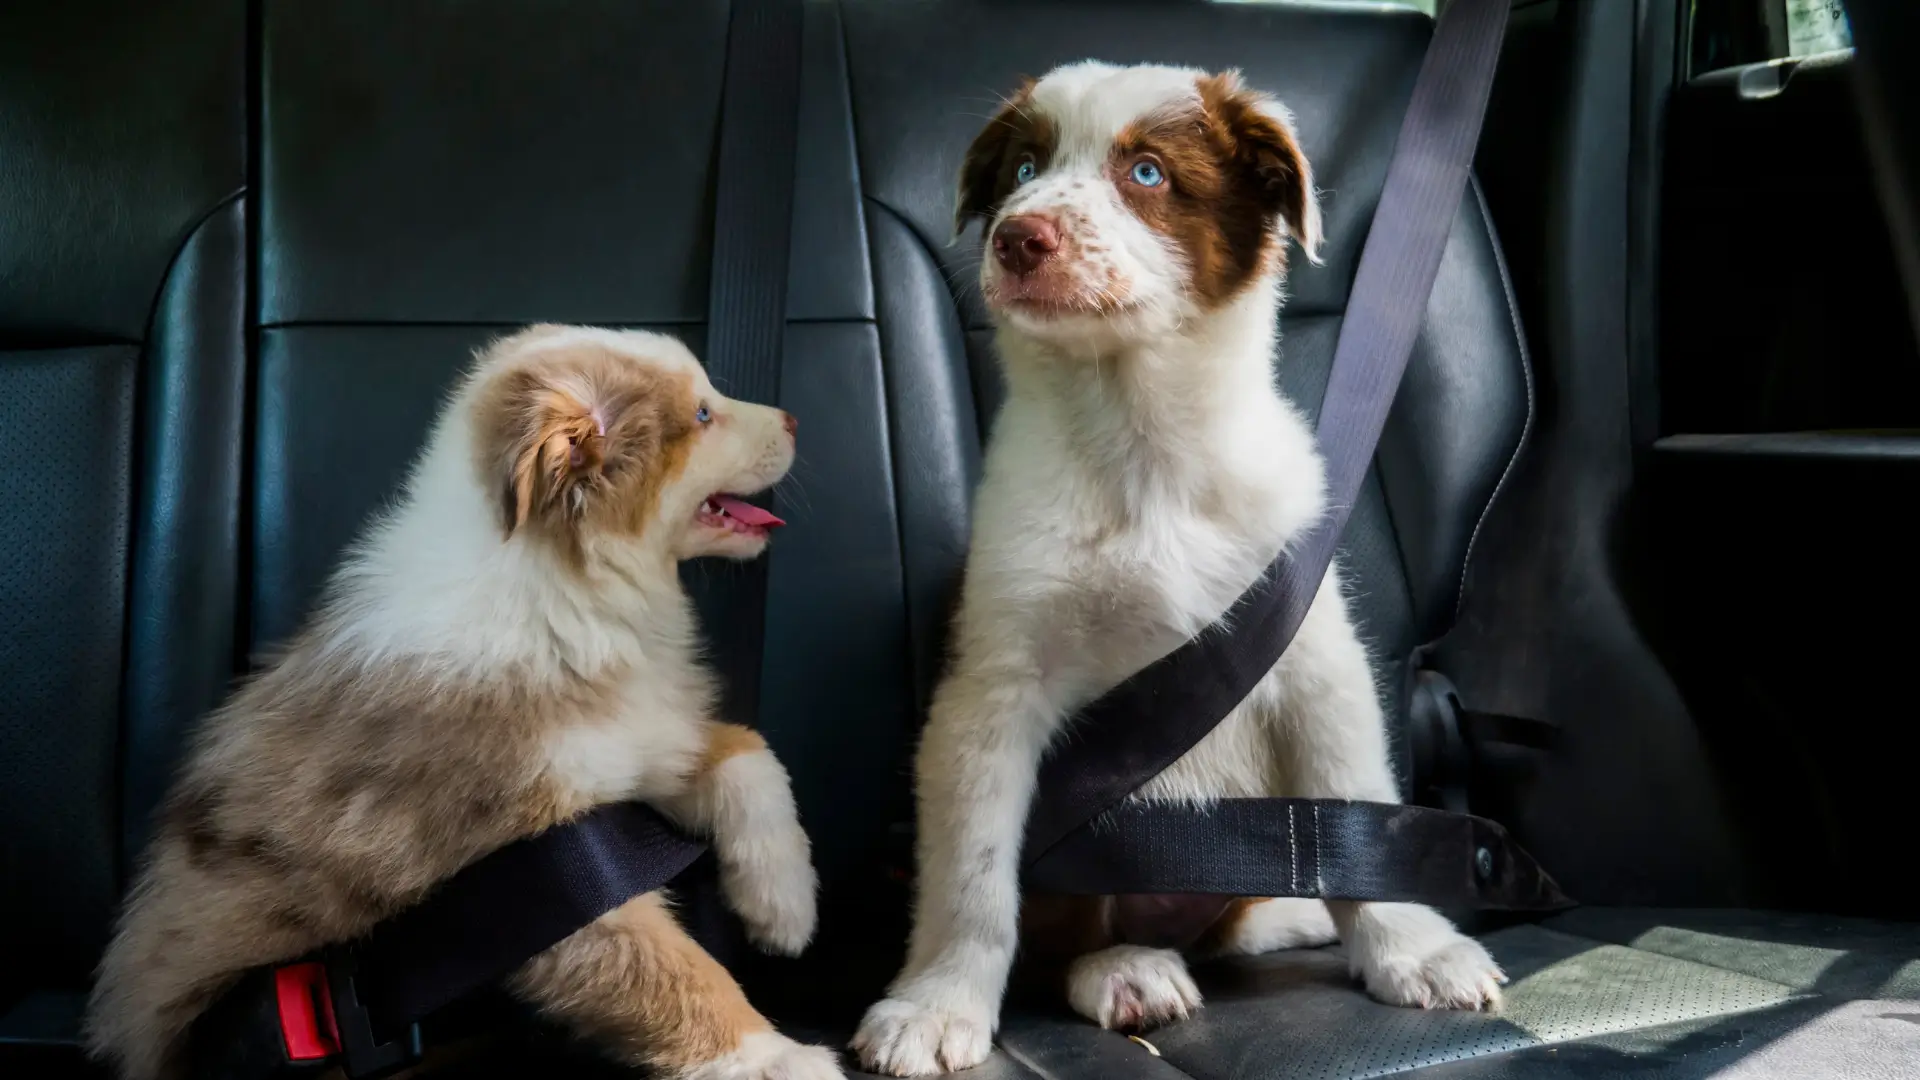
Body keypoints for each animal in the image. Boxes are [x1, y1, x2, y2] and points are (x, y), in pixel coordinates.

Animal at [88, 322, 840, 1076]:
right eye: (704, 415)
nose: (796, 419)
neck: (563, 584)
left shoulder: (635, 742)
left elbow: (747, 753)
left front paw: (784, 903)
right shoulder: (529, 873)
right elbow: (668, 971)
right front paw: (775, 1059)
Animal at [856, 62, 1497, 1068]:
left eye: (1148, 173)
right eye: (1025, 168)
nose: (1016, 237)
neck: (1139, 444)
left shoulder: (1312, 656)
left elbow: (1358, 812)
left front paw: (1413, 949)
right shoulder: (990, 687)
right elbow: (973, 874)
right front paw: (937, 1002)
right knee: (1073, 938)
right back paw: (1127, 968)